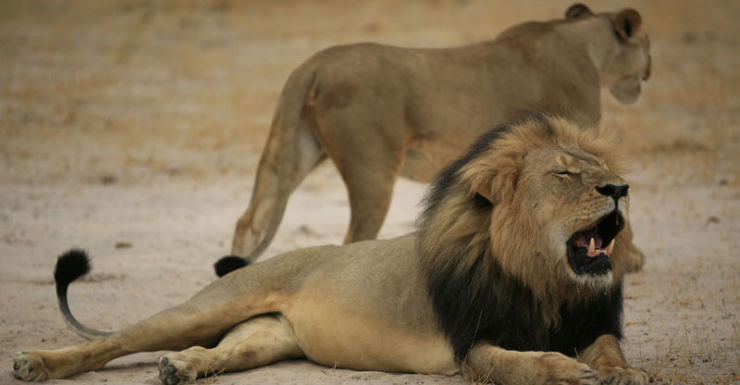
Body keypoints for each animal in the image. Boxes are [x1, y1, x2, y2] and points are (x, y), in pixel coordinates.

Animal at [11, 115, 648, 384]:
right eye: (566, 174)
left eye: (602, 170)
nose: (621, 189)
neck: (545, 281)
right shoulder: (472, 345)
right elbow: (525, 365)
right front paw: (568, 372)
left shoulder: (590, 322)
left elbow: (610, 349)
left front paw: (623, 374)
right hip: (210, 304)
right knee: (114, 342)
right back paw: (37, 364)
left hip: (266, 337)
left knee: (216, 350)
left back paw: (182, 367)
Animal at [228, 2, 652, 270]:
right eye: (646, 47)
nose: (648, 73)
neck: (587, 48)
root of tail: (312, 64)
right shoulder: (573, 142)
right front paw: (628, 259)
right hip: (372, 169)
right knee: (353, 239)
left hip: (294, 150)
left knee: (249, 220)